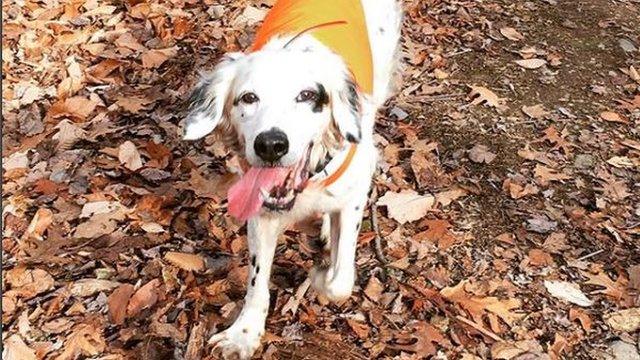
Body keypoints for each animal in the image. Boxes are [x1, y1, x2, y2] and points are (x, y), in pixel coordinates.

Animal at [180, 0, 400, 358]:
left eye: (307, 95)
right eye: (248, 98)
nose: (270, 144)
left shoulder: (355, 193)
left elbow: (341, 280)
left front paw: (322, 276)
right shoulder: (261, 210)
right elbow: (257, 281)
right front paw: (244, 333)